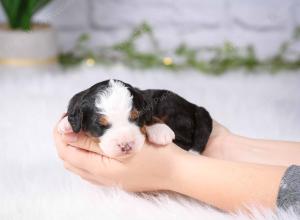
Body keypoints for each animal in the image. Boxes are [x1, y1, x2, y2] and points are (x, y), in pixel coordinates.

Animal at [67, 80, 213, 157]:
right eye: (100, 125)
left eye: (135, 118)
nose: (126, 145)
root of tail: (196, 107)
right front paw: (65, 124)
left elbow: (150, 115)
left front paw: (160, 131)